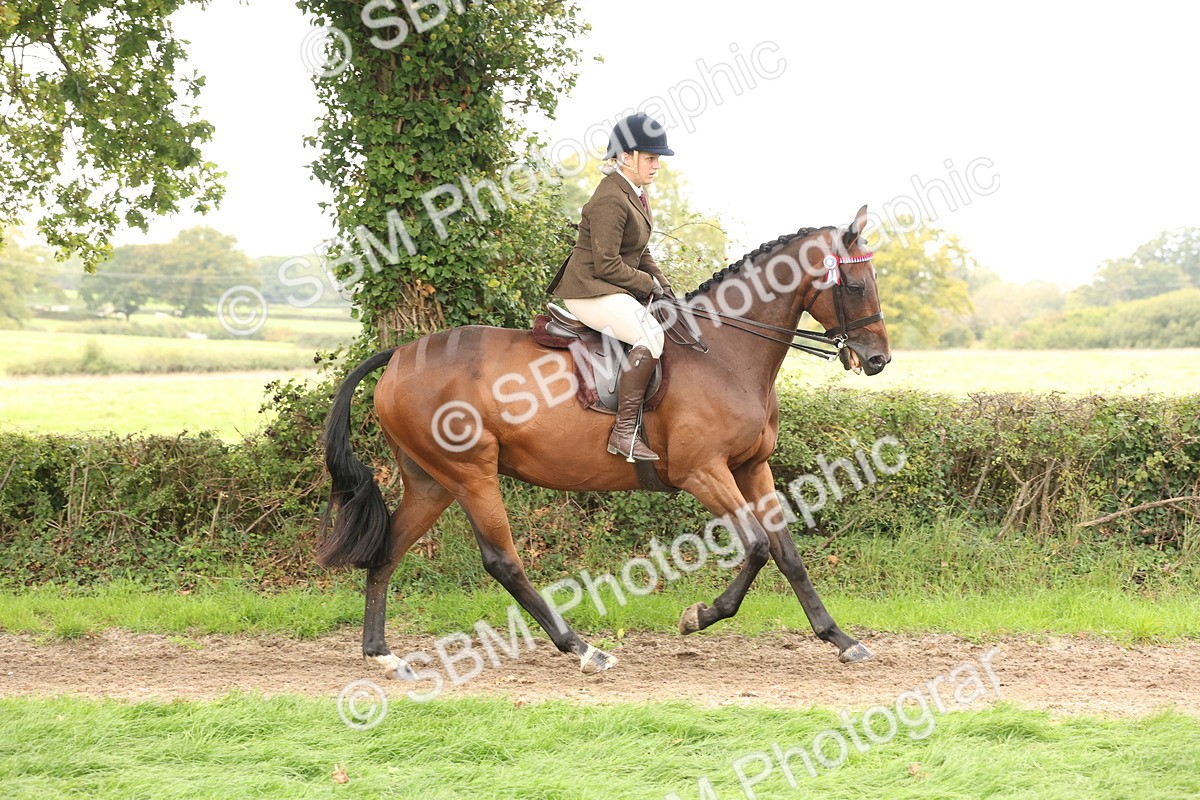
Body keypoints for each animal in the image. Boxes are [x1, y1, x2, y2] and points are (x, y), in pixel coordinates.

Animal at [319, 205, 891, 679]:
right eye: (855, 285)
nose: (878, 359)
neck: (726, 354)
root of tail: (399, 355)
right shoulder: (702, 471)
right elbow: (755, 547)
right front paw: (697, 616)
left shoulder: (752, 468)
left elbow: (786, 552)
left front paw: (841, 639)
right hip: (470, 474)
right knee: (502, 561)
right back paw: (583, 648)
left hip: (431, 481)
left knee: (387, 551)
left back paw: (382, 654)